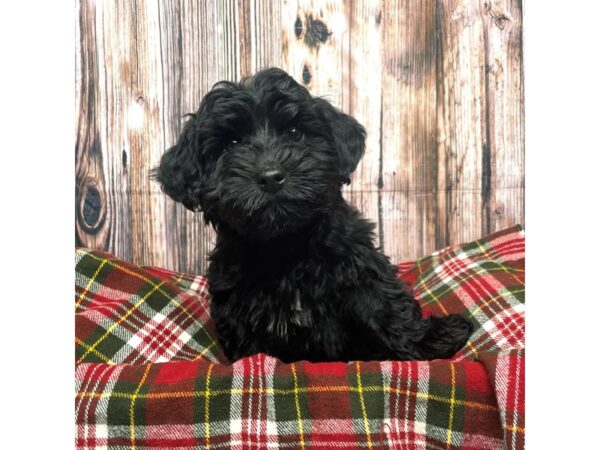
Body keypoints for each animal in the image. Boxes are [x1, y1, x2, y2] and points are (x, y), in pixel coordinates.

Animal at [152, 67, 472, 362]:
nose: (271, 176)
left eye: (294, 133)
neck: (286, 245)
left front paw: (434, 338)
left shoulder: (359, 264)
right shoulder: (237, 304)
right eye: (231, 144)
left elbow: (385, 305)